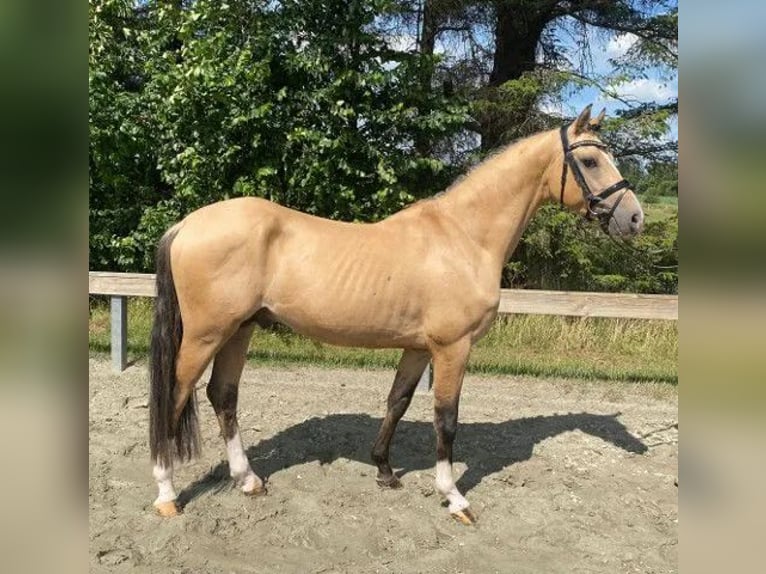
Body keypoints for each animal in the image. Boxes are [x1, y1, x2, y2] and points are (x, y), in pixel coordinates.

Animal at [148, 104, 640, 528]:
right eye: (591, 160)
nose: (634, 218)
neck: (463, 237)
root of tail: (187, 224)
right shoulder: (452, 348)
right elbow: (446, 419)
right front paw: (453, 496)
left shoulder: (419, 348)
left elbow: (397, 402)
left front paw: (384, 470)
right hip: (206, 335)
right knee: (175, 396)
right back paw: (167, 493)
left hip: (240, 330)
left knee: (223, 395)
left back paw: (248, 480)